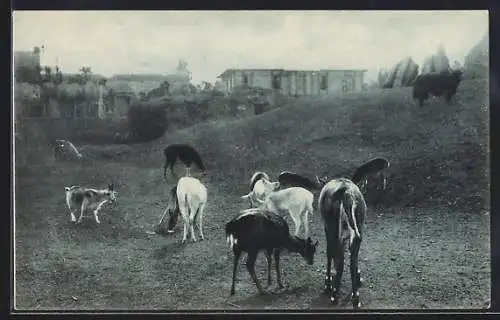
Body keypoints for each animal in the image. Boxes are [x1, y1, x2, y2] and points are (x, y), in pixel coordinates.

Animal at [320, 176, 368, 308]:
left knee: (339, 257)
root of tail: (347, 192)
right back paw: (355, 296)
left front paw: (328, 282)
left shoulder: (327, 228)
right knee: (352, 256)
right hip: (358, 226)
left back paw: (334, 293)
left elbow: (329, 252)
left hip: (334, 227)